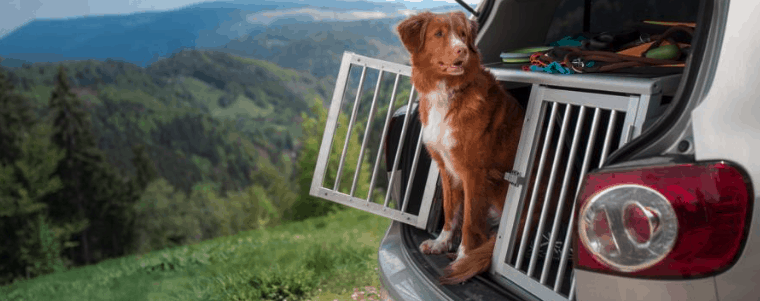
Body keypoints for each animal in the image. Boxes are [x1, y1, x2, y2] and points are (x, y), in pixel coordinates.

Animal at [398, 11, 524, 284]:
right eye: (439, 34)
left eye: (463, 34)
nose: (462, 50)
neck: (446, 91)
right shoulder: (446, 167)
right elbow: (450, 210)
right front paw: (441, 243)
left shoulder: (473, 172)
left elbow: (468, 221)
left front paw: (464, 257)